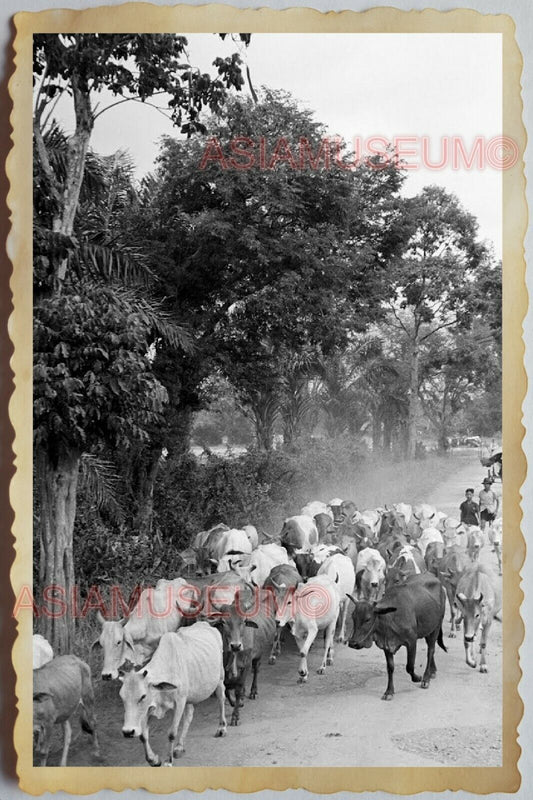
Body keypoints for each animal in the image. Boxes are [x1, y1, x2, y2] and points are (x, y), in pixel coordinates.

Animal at [119, 620, 225, 764]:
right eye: (122, 697)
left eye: (143, 696)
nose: (128, 732)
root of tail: (205, 624)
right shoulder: (148, 709)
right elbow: (143, 735)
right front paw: (153, 759)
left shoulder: (179, 702)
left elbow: (171, 733)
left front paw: (168, 761)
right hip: (189, 696)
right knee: (189, 715)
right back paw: (180, 747)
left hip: (220, 679)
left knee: (221, 699)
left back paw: (222, 728)